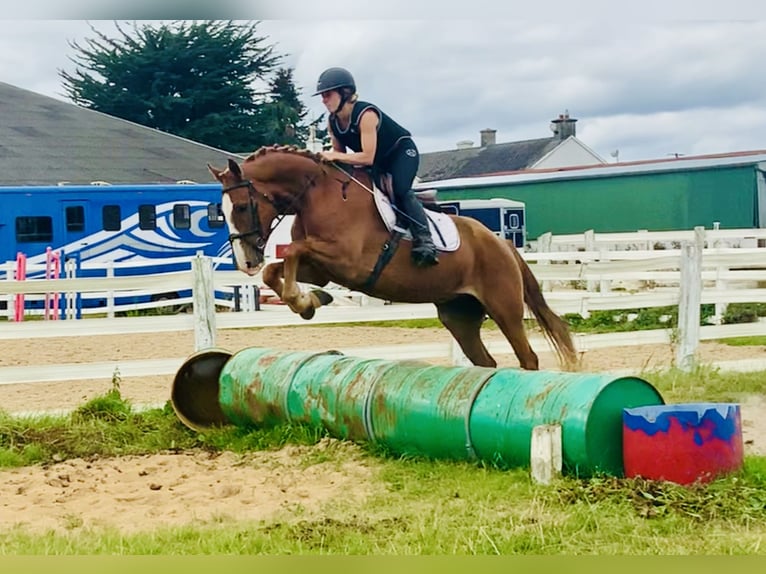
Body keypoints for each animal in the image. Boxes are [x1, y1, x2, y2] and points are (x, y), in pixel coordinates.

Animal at [207, 146, 580, 372]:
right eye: (220, 211)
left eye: (241, 207)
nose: (245, 262)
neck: (316, 194)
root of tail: (503, 244)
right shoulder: (323, 268)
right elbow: (276, 271)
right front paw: (309, 301)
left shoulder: (347, 261)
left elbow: (294, 253)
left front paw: (305, 302)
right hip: (459, 315)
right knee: (484, 362)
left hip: (504, 308)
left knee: (527, 356)